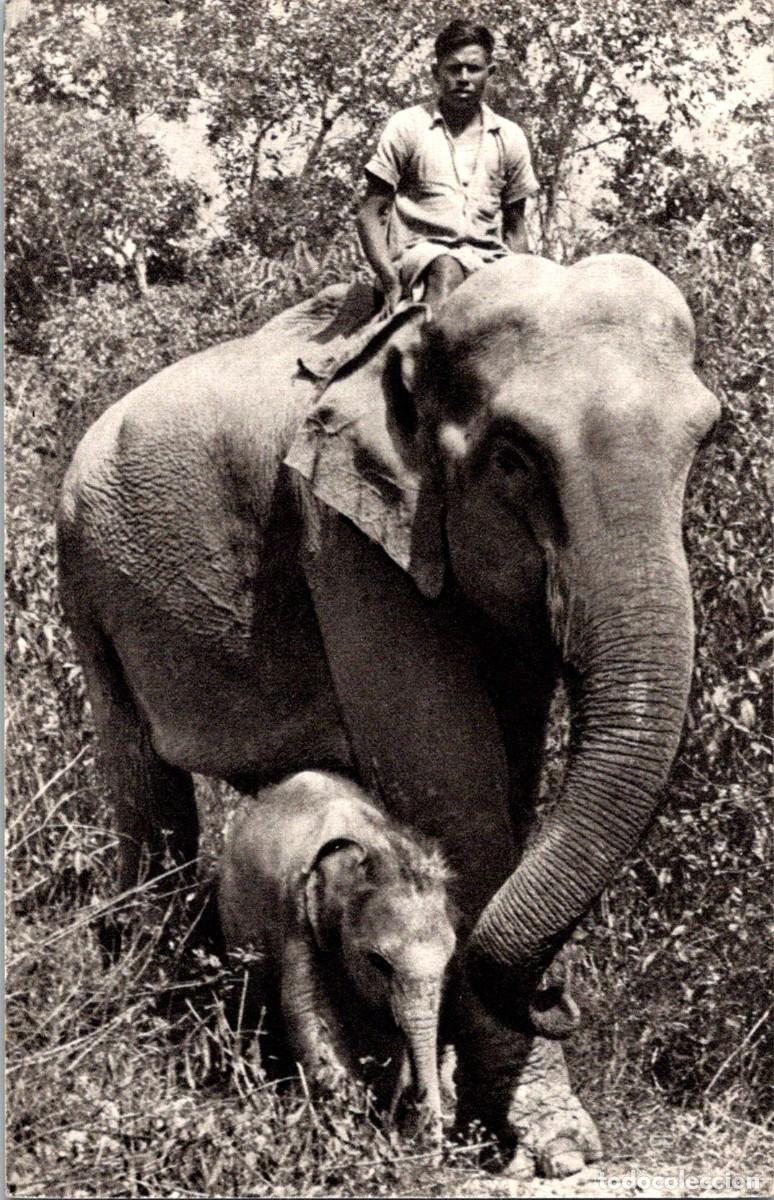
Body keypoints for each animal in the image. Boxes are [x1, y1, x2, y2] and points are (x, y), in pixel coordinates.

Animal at [217, 769, 456, 1141]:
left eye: (448, 961)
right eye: (378, 962)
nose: (423, 1131)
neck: (369, 845)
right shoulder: (298, 916)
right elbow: (309, 1011)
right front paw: (352, 1130)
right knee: (250, 998)